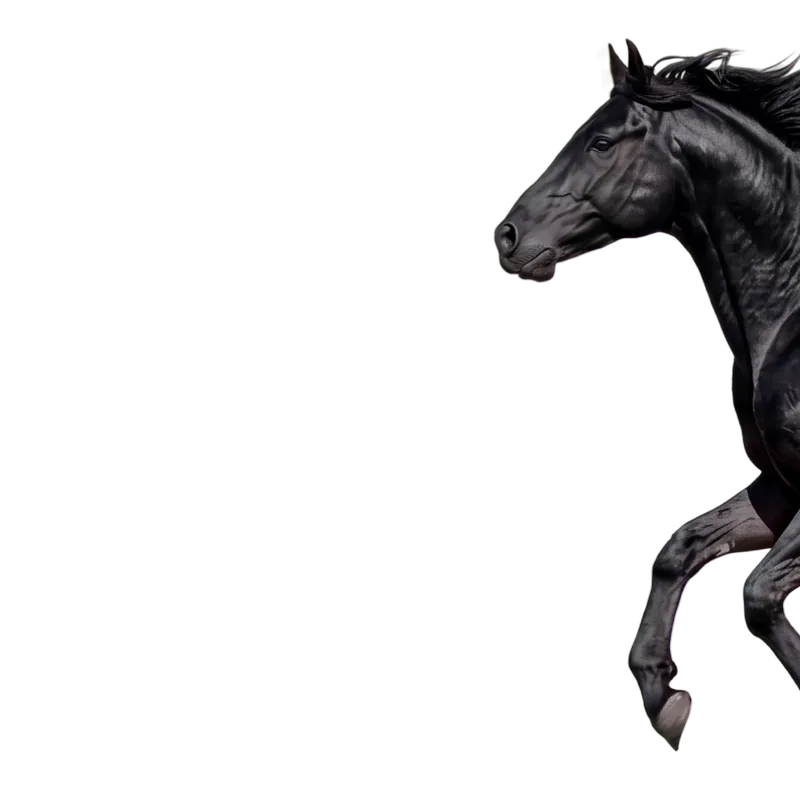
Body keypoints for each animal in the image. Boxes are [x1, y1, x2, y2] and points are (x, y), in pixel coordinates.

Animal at [493, 40, 800, 750]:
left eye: (602, 142)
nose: (507, 238)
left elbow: (760, 594)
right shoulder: (778, 488)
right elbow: (680, 548)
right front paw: (666, 699)